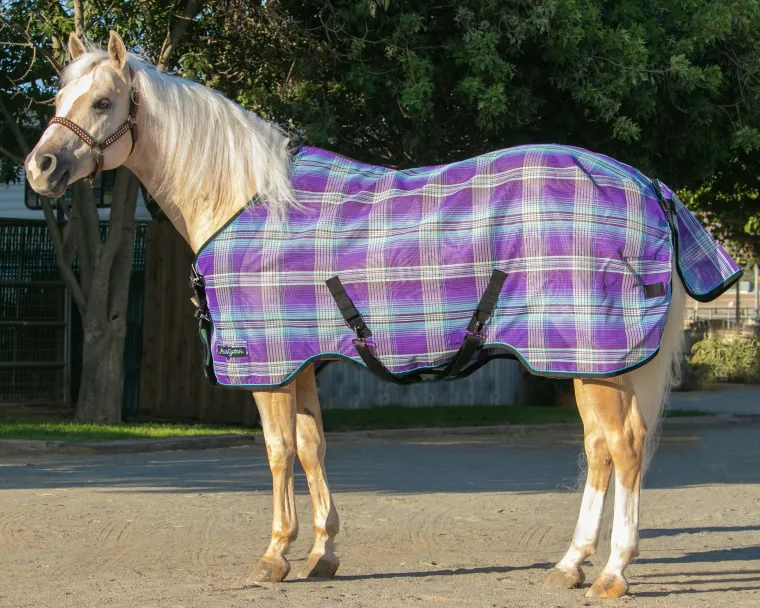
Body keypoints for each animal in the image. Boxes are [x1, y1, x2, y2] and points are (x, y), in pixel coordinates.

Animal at [26, 30, 731, 599]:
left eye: (102, 102)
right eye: (58, 98)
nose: (40, 166)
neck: (247, 197)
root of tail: (652, 187)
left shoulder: (269, 366)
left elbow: (279, 451)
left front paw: (276, 556)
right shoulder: (304, 362)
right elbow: (312, 447)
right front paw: (322, 553)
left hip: (595, 359)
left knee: (624, 449)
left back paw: (612, 572)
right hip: (592, 362)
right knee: (600, 451)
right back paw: (570, 564)